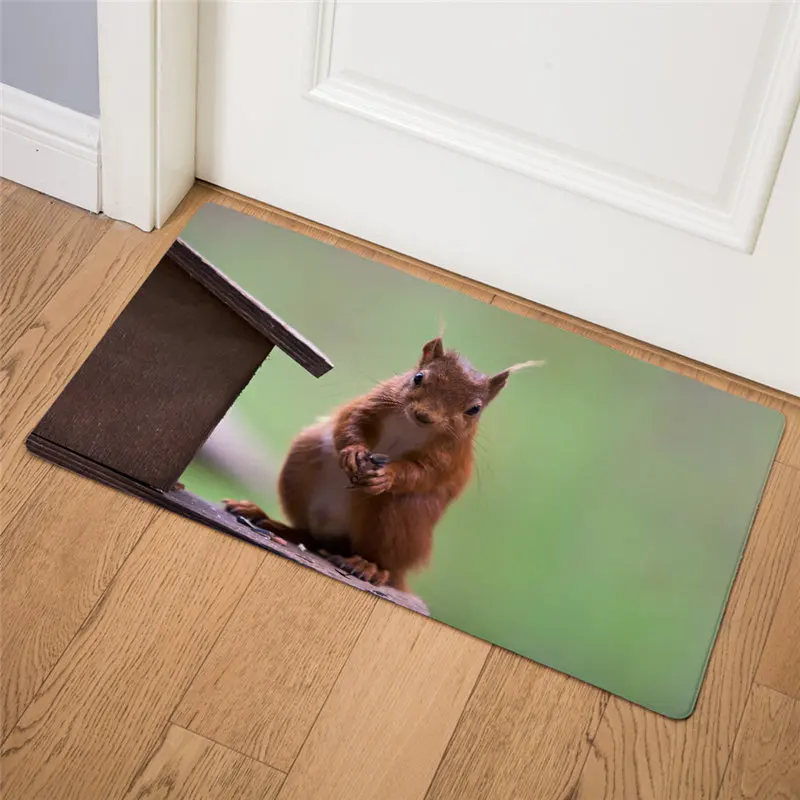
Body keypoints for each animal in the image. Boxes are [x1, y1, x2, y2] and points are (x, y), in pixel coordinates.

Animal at [224, 336, 543, 593]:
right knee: (309, 536)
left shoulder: (451, 454)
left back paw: (368, 566)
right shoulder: (375, 401)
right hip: (304, 458)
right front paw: (353, 451)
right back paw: (266, 520)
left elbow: (427, 473)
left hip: (401, 516)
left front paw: (387, 476)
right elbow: (351, 422)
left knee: (383, 562)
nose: (425, 415)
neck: (412, 426)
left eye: (474, 409)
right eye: (418, 377)